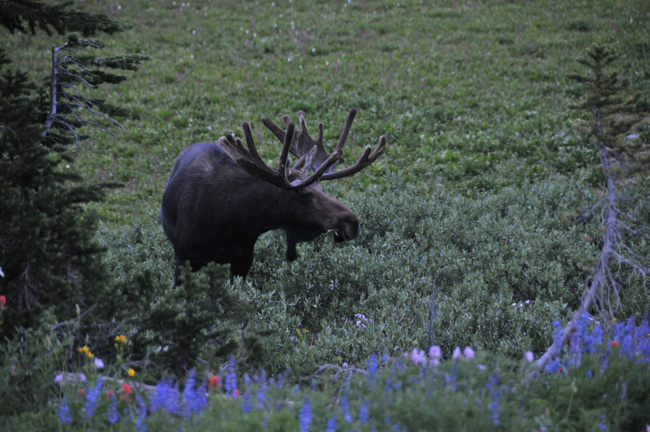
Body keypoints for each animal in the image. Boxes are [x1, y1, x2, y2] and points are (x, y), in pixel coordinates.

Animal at [160, 109, 384, 282]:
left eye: (322, 189)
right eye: (304, 194)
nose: (352, 221)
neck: (231, 220)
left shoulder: (244, 259)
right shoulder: (183, 256)